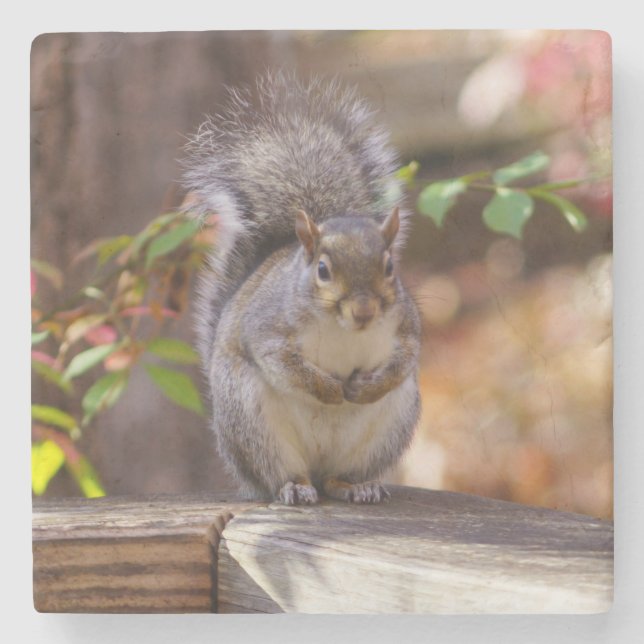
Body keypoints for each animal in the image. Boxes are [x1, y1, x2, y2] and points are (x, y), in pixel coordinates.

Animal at [182, 73, 421, 505]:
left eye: (390, 267)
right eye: (323, 270)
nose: (364, 311)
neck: (343, 328)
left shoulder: (406, 325)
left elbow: (405, 359)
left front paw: (365, 387)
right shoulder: (267, 327)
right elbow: (282, 362)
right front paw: (329, 390)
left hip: (388, 428)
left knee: (336, 478)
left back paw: (356, 486)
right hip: (253, 425)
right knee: (283, 474)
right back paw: (294, 487)